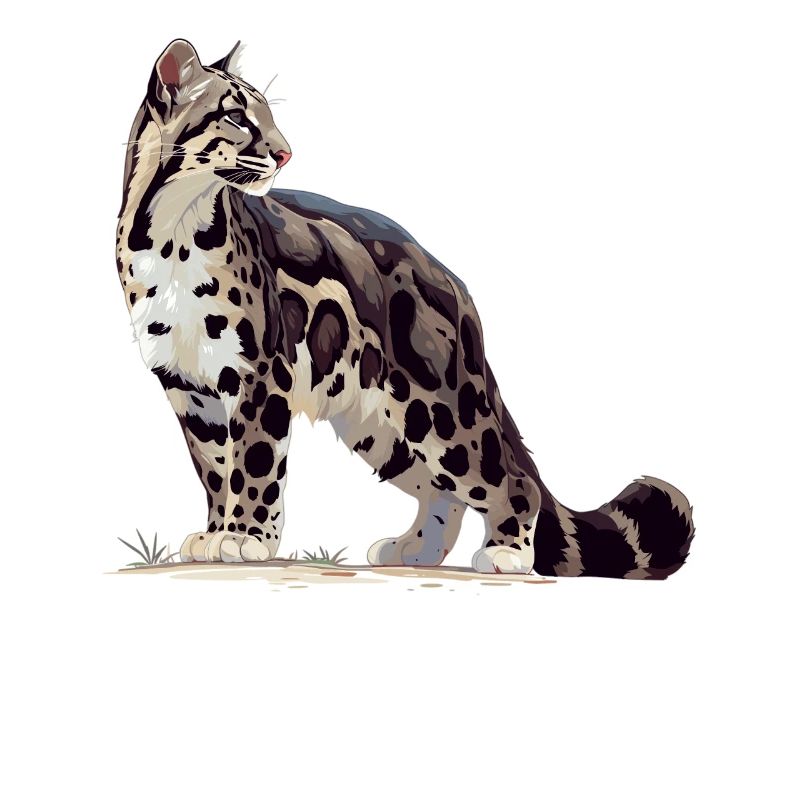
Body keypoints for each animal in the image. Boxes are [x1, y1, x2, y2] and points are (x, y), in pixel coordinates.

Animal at [116, 39, 694, 578]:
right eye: (236, 116)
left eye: (270, 115)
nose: (285, 153)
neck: (172, 234)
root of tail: (452, 282)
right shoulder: (187, 385)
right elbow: (216, 469)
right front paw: (217, 532)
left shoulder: (260, 372)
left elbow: (253, 463)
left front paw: (246, 538)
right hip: (382, 423)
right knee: (443, 492)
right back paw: (415, 549)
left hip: (442, 411)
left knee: (510, 479)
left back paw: (506, 552)